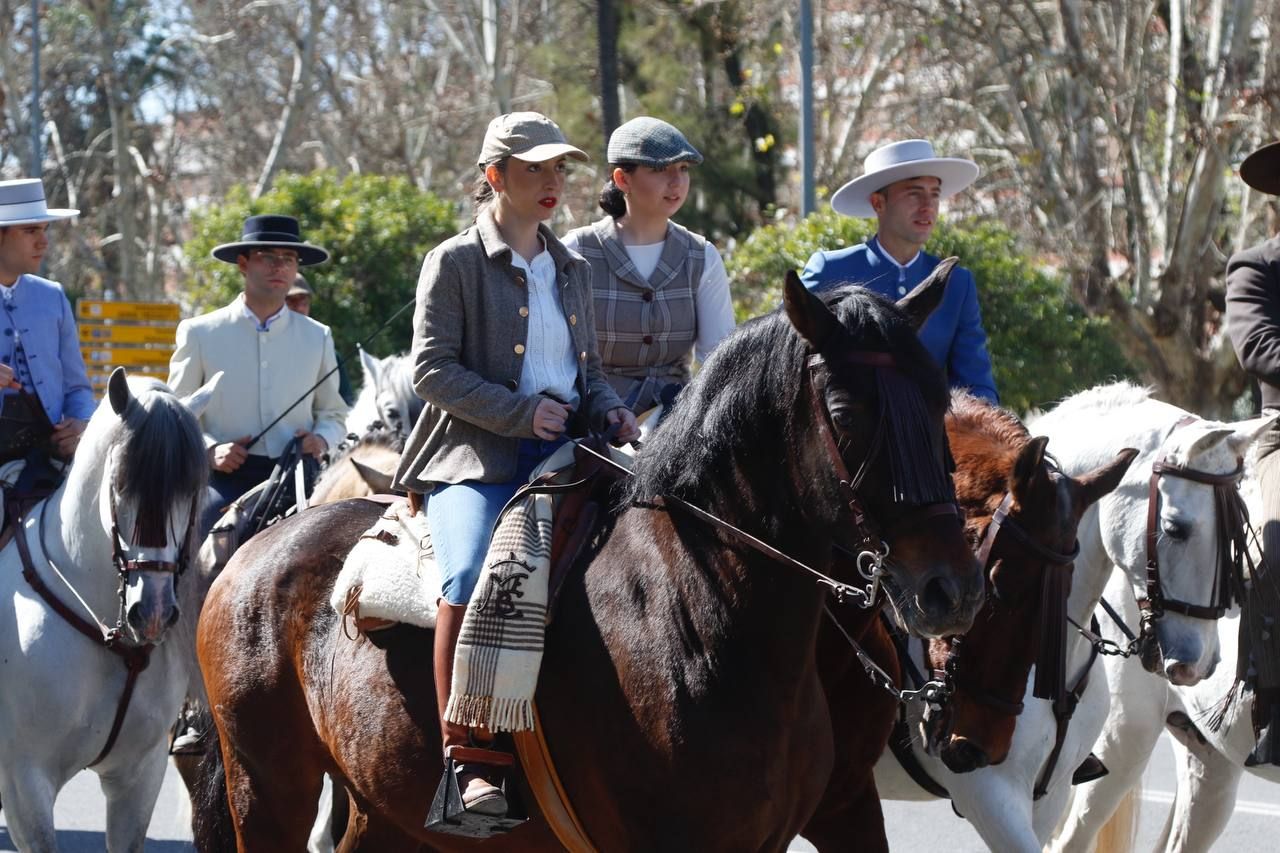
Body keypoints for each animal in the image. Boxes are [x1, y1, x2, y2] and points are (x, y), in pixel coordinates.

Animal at [189, 267, 983, 850]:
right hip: (267, 791)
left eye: (939, 399)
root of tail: (256, 548)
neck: (701, 610)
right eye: (845, 413)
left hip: (378, 808)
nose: (951, 588)